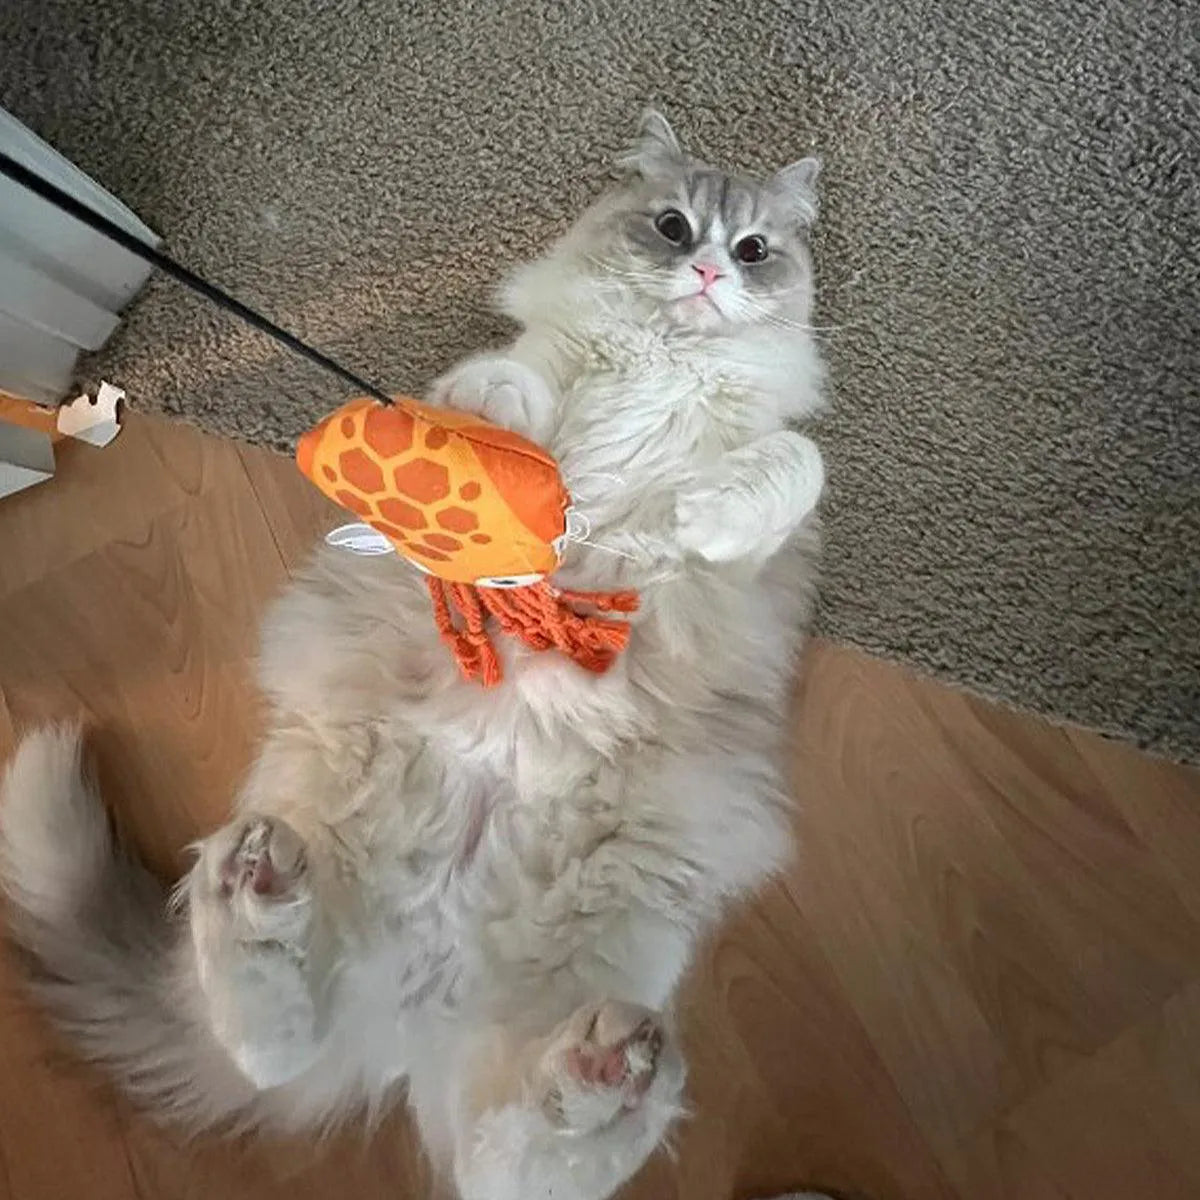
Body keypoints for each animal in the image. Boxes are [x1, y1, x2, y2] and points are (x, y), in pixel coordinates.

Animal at [0, 112, 825, 1200]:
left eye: (755, 249)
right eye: (674, 226)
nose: (704, 273)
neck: (660, 360)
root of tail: (418, 989)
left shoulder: (771, 508)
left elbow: (787, 469)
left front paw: (700, 512)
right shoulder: (507, 369)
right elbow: (497, 390)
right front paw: (493, 454)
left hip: (581, 960)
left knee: (512, 1156)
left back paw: (607, 1076)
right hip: (328, 822)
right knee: (273, 1045)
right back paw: (254, 897)